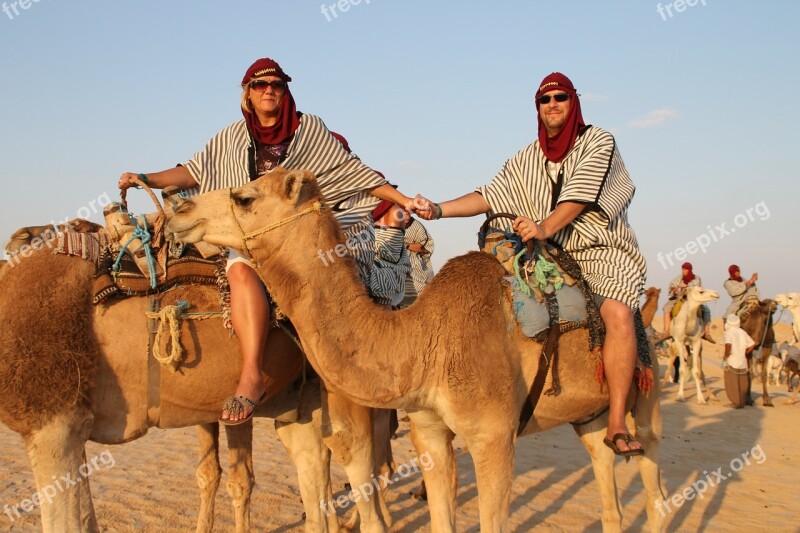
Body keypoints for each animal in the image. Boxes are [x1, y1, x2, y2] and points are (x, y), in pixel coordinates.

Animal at [166, 168, 664, 532]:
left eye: (244, 197)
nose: (178, 211)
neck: (425, 339)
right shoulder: (429, 430)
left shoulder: (493, 435)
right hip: (588, 414)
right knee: (606, 475)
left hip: (646, 394)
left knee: (653, 488)